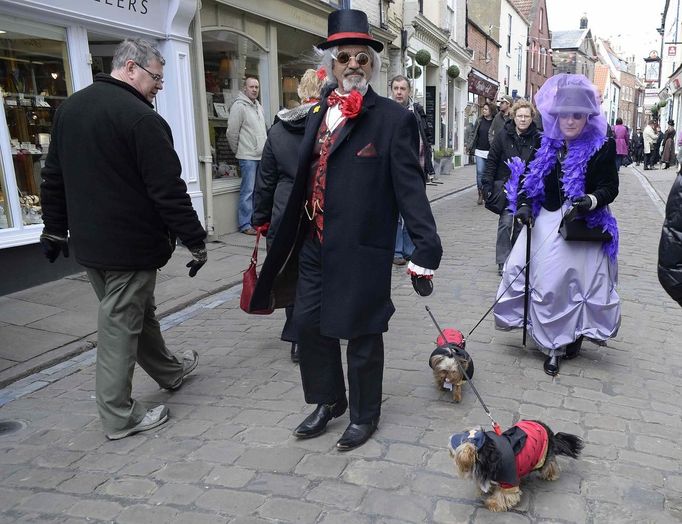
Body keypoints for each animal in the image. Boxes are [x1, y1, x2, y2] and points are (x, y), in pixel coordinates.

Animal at [448, 422, 580, 512]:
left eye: (455, 442)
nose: (449, 437)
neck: (487, 453)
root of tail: (548, 430)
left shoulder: (508, 478)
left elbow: (504, 495)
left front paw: (494, 503)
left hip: (543, 456)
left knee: (550, 463)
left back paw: (551, 475)